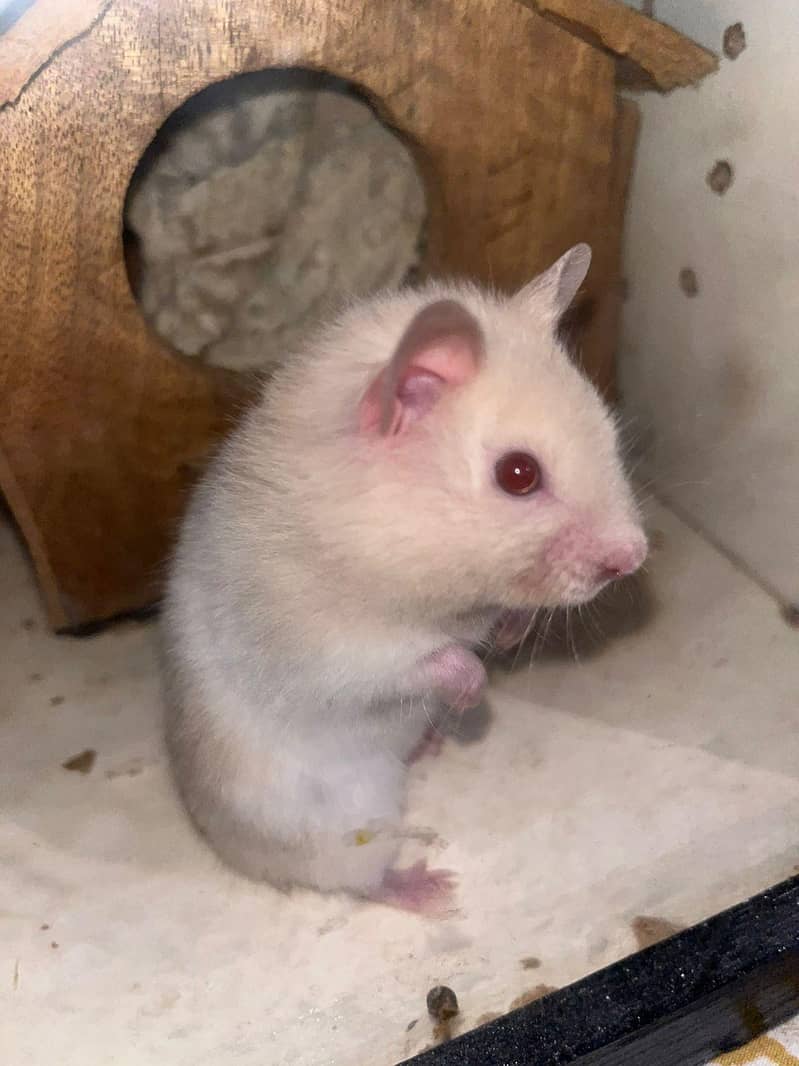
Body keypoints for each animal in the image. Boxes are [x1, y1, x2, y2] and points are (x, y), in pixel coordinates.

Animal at [161, 244, 647, 914]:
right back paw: (434, 889)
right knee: (359, 881)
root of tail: (230, 851)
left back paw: (430, 745)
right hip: (344, 825)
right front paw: (472, 690)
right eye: (518, 474)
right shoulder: (335, 649)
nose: (636, 557)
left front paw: (509, 635)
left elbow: (501, 619)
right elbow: (423, 659)